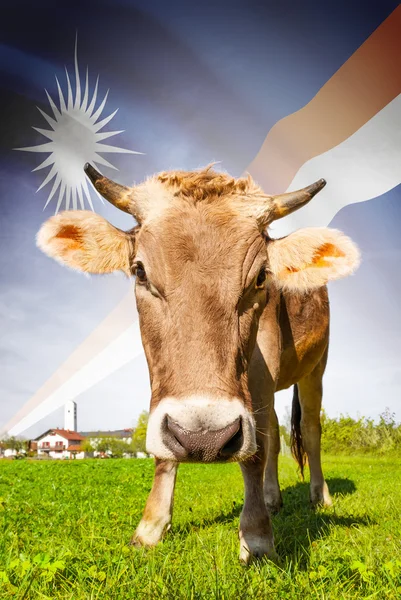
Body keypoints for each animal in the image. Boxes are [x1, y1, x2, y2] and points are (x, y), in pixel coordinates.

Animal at [37, 164, 360, 564]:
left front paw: (256, 536)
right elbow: (167, 450)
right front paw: (150, 527)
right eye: (140, 271)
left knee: (310, 431)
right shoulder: (164, 379)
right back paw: (273, 498)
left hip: (316, 367)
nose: (203, 438)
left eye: (261, 277)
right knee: (271, 431)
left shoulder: (263, 364)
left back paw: (319, 496)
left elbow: (254, 452)